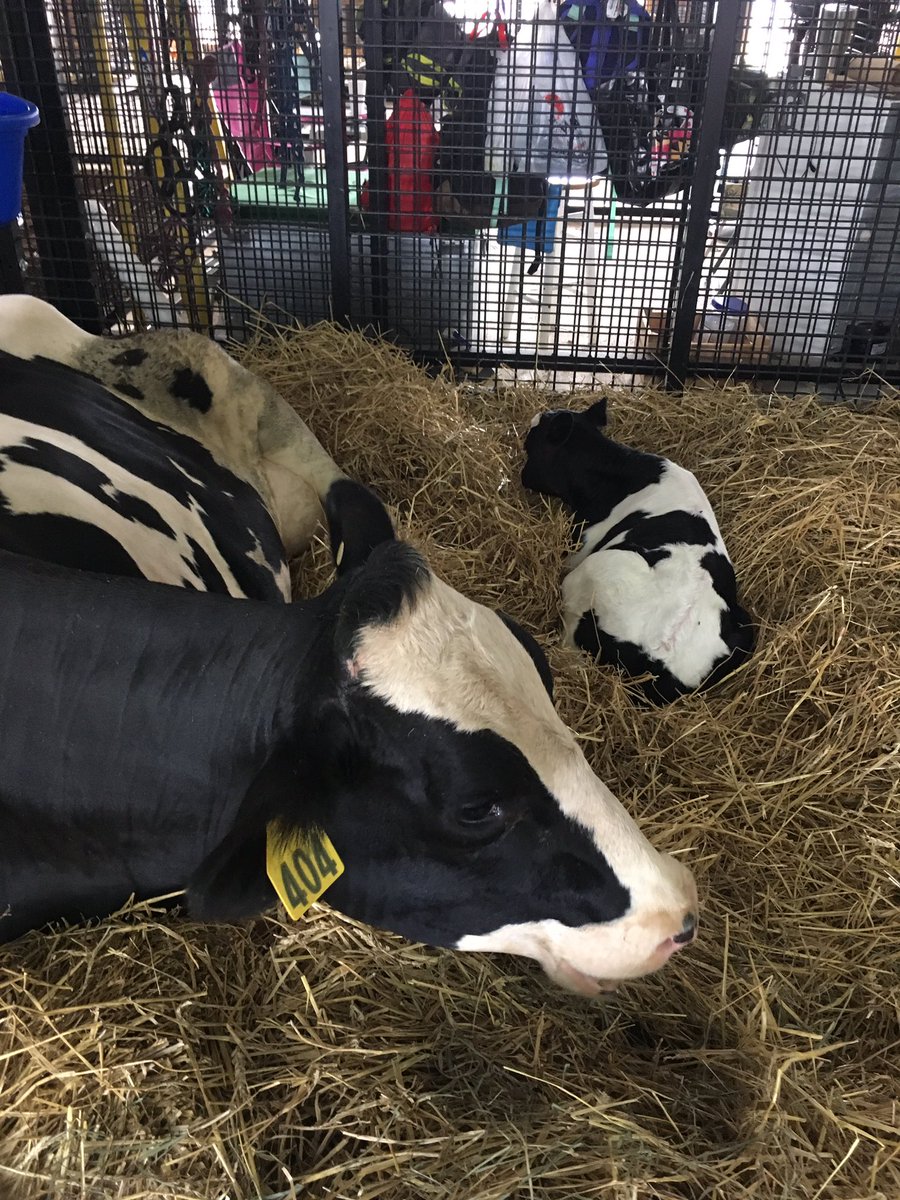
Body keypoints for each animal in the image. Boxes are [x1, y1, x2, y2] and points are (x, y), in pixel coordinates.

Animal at [522, 401, 754, 705]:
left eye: (530, 441)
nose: (523, 477)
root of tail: (664, 647)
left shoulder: (581, 546)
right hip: (746, 627)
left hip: (593, 573)